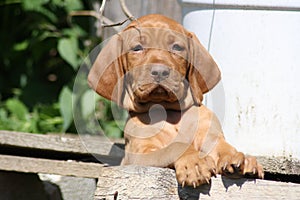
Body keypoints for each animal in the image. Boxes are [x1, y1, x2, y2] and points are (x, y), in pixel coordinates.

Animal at [88, 14, 264, 188]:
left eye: (177, 47)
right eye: (137, 48)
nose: (160, 72)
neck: (170, 113)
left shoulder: (210, 136)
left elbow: (221, 146)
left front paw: (238, 158)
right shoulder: (140, 154)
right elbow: (176, 145)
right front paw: (194, 163)